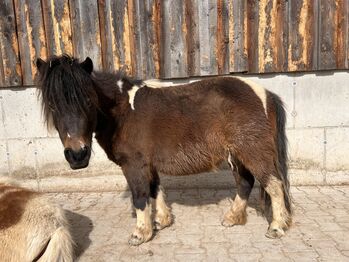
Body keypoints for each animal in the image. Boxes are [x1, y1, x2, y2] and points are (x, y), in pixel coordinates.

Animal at [36, 54, 290, 246]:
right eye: (52, 105)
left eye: (88, 101)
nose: (77, 155)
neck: (122, 111)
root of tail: (264, 93)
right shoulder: (148, 164)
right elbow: (155, 189)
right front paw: (162, 221)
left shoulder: (134, 165)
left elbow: (140, 196)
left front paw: (140, 233)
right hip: (236, 154)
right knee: (245, 183)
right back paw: (233, 217)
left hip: (253, 151)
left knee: (274, 185)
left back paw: (277, 227)